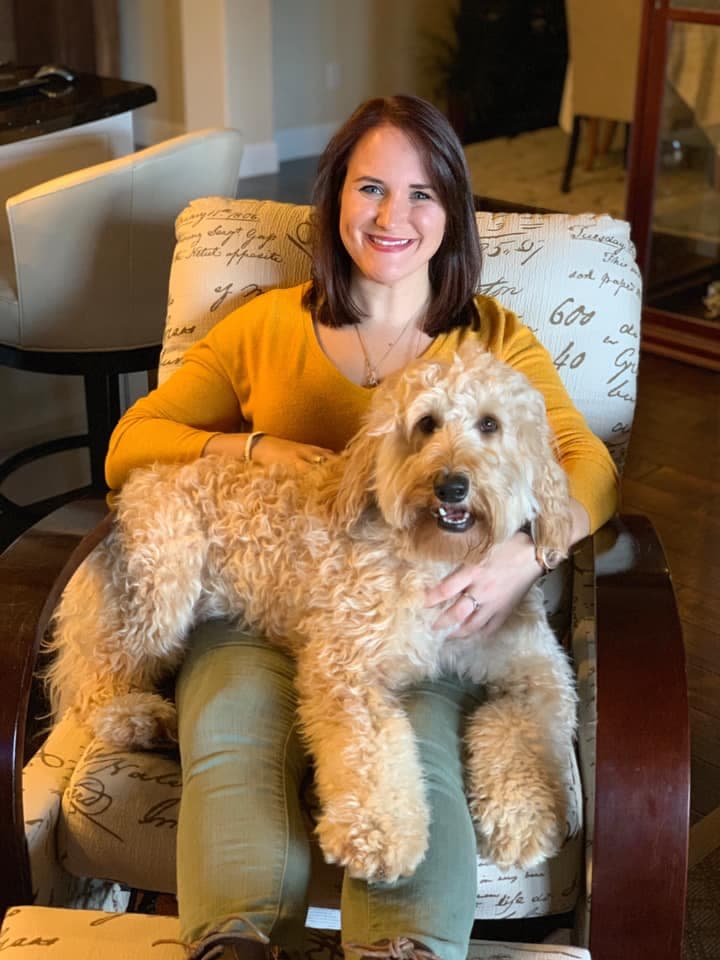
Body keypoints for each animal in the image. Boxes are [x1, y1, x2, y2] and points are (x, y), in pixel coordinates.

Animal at [47, 344, 580, 884]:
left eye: (490, 424)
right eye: (427, 423)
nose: (450, 485)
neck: (435, 559)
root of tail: (135, 485)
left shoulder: (539, 673)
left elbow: (524, 733)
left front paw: (523, 818)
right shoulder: (345, 664)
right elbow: (370, 751)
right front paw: (377, 832)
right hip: (162, 588)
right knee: (94, 675)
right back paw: (136, 717)